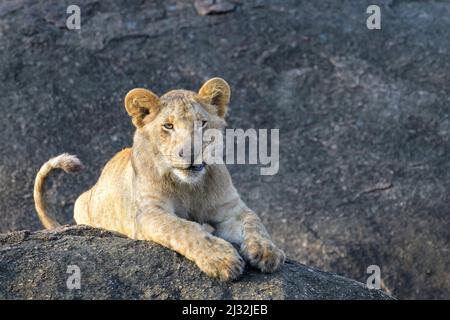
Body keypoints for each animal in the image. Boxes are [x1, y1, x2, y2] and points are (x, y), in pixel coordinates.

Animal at [34, 77, 284, 280]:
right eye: (168, 126)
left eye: (202, 123)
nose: (190, 153)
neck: (189, 187)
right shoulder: (148, 213)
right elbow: (184, 228)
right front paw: (221, 259)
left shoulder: (231, 208)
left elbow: (254, 221)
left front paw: (268, 251)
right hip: (81, 203)